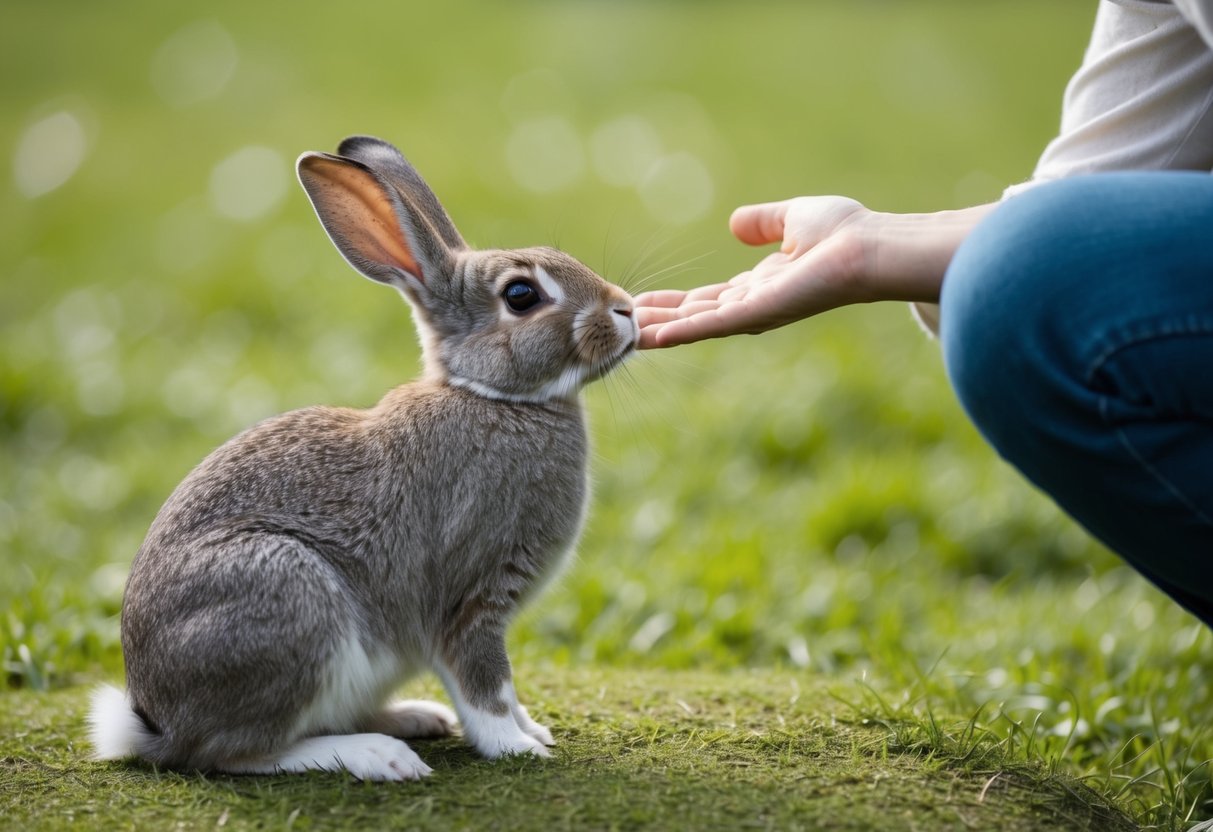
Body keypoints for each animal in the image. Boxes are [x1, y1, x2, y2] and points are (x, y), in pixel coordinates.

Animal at [88, 135, 639, 781]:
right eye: (521, 295)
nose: (626, 310)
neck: (493, 396)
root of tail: (155, 721)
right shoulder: (470, 597)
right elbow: (487, 685)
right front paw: (517, 746)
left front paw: (533, 731)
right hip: (288, 597)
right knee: (231, 752)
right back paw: (378, 755)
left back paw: (415, 718)